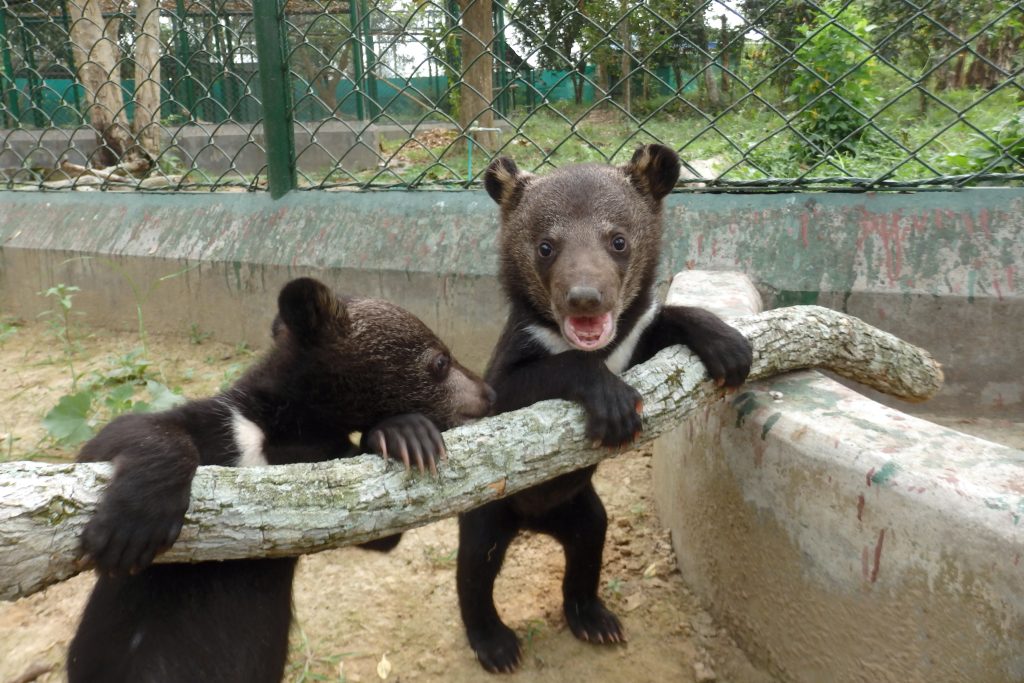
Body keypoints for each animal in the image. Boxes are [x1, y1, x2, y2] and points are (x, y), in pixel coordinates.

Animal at [67, 277, 494, 683]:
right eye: (440, 360)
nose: (489, 392)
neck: (285, 431)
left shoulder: (325, 459)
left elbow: (378, 530)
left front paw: (404, 433)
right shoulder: (224, 424)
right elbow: (112, 441)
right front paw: (130, 528)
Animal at [456, 144, 753, 672]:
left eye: (618, 241)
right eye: (545, 247)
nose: (585, 299)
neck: (596, 344)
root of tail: (534, 522)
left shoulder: (632, 341)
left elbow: (662, 326)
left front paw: (729, 347)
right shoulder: (516, 357)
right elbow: (518, 387)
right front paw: (615, 407)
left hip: (582, 509)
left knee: (589, 544)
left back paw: (595, 619)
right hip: (487, 510)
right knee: (475, 565)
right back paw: (496, 645)